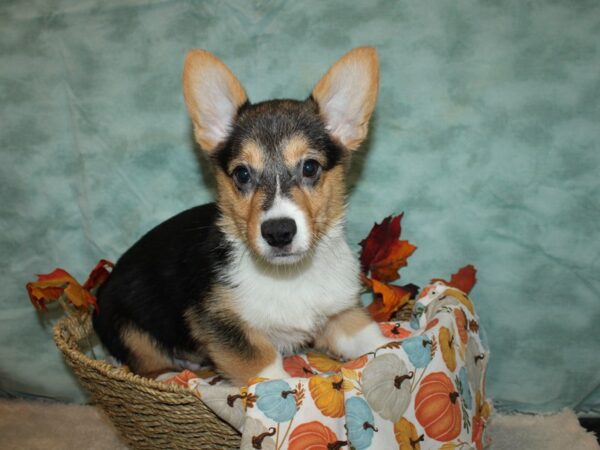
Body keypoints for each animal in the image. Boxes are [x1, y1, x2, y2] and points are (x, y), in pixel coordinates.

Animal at [94, 48, 392, 386]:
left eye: (310, 167)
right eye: (242, 173)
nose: (278, 233)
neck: (288, 275)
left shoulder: (342, 313)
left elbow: (371, 338)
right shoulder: (221, 325)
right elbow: (266, 368)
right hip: (127, 325)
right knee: (145, 362)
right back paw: (171, 374)